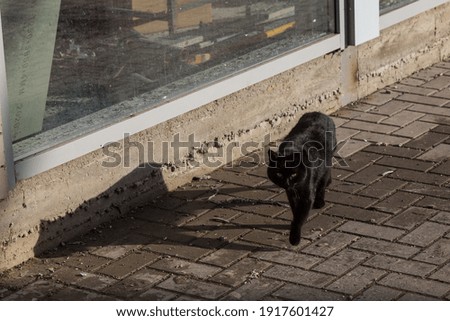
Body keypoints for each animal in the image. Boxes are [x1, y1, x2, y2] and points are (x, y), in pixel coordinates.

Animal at [266, 111, 336, 244]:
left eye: (293, 174)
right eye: (279, 174)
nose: (287, 183)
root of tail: (319, 113)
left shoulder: (306, 194)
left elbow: (300, 215)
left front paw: (294, 238)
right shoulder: (291, 193)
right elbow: (295, 210)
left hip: (327, 162)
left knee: (323, 181)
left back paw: (320, 201)